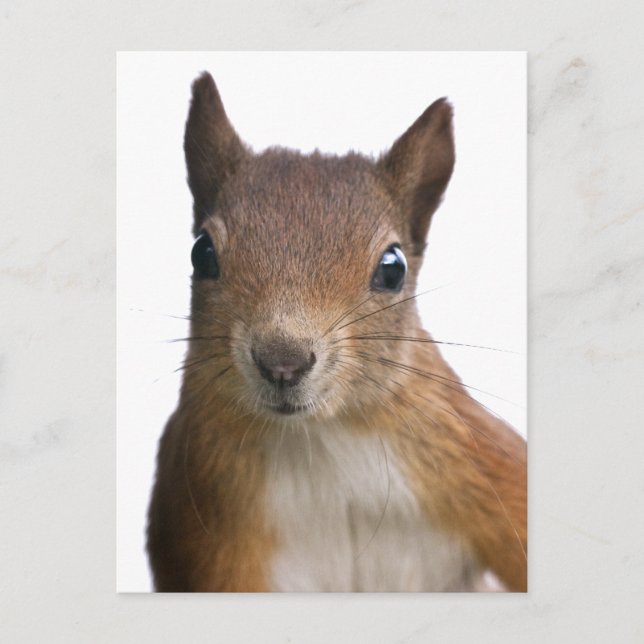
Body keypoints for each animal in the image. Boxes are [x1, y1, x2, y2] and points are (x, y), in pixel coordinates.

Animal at [146, 71, 527, 592]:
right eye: (201, 253)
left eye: (393, 267)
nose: (282, 362)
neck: (317, 438)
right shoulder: (206, 539)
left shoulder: (481, 461)